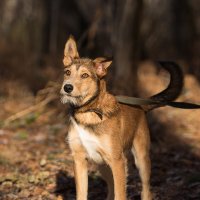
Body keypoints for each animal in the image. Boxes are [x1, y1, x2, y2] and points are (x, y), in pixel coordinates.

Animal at [59, 36, 183, 200]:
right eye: (67, 72)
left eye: (85, 75)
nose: (67, 87)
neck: (88, 112)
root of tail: (140, 105)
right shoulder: (79, 160)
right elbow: (82, 194)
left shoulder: (117, 161)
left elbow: (120, 194)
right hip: (103, 165)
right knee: (111, 188)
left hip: (141, 160)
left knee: (145, 190)